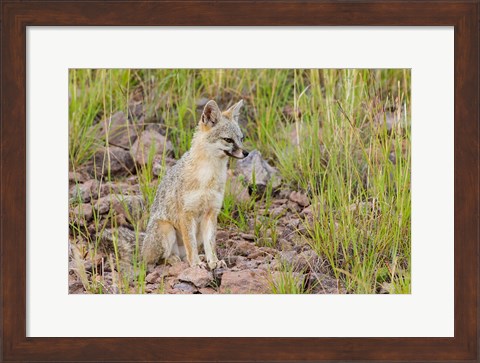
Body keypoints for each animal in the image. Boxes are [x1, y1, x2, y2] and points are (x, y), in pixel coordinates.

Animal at [142, 99, 248, 270]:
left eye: (241, 139)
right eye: (228, 140)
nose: (246, 153)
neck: (207, 177)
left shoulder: (211, 212)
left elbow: (210, 243)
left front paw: (214, 261)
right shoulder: (186, 213)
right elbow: (190, 244)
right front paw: (196, 264)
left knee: (185, 253)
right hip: (166, 229)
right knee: (159, 259)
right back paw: (174, 259)